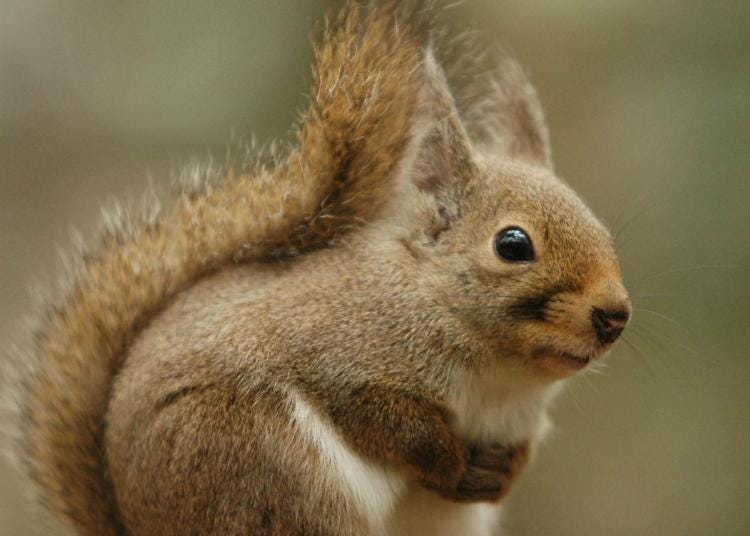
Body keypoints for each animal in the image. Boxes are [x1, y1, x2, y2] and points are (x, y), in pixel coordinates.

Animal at [1, 2, 636, 532]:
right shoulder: (340, 358)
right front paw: (452, 462)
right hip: (266, 472)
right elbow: (390, 423)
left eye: (605, 232)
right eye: (512, 244)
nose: (614, 315)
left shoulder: (520, 421)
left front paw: (497, 474)